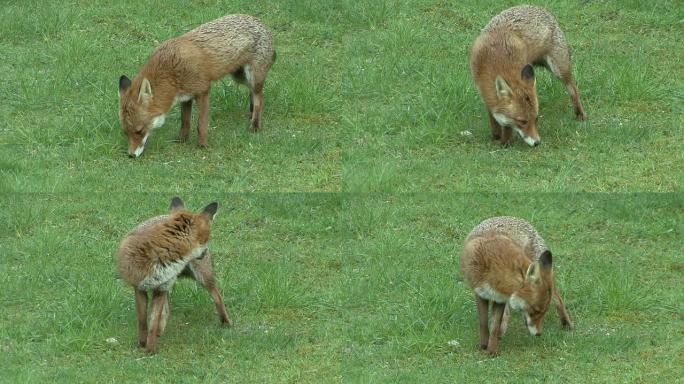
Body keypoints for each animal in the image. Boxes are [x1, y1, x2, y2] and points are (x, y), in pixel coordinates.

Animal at [117, 198, 232, 354]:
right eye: (205, 240)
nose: (204, 253)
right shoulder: (139, 287)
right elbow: (143, 322)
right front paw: (142, 344)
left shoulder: (162, 288)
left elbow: (153, 324)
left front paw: (151, 350)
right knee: (165, 311)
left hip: (203, 277)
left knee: (217, 296)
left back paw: (226, 322)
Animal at [118, 14, 276, 157]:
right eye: (126, 132)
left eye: (139, 131)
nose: (131, 155)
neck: (171, 71)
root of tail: (262, 23)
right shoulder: (186, 97)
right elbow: (185, 121)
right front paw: (182, 140)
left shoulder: (203, 91)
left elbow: (201, 124)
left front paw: (203, 146)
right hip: (240, 77)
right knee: (254, 95)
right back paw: (251, 115)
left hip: (252, 77)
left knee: (260, 99)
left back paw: (255, 125)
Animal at [460, 218, 572, 356]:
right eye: (534, 310)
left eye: (543, 312)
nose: (539, 334)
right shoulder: (481, 294)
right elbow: (484, 323)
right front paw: (484, 346)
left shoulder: (500, 299)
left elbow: (494, 327)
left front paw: (492, 351)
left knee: (559, 299)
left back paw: (567, 324)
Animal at [470, 6, 588, 147]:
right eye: (522, 121)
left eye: (536, 119)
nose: (537, 143)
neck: (495, 60)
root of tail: (541, 9)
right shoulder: (486, 93)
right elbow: (493, 117)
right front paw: (496, 136)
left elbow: (507, 127)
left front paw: (504, 143)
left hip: (558, 68)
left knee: (574, 89)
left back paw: (580, 114)